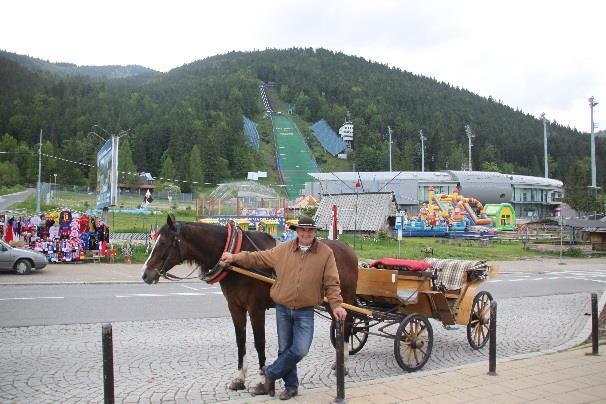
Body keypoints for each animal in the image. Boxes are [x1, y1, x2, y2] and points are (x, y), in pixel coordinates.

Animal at [141, 216, 360, 390]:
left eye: (163, 243)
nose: (145, 274)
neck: (238, 263)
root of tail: (347, 248)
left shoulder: (256, 309)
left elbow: (259, 341)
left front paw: (262, 378)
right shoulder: (235, 307)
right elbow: (241, 341)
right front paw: (239, 378)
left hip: (344, 300)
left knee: (348, 326)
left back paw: (345, 365)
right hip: (331, 303)